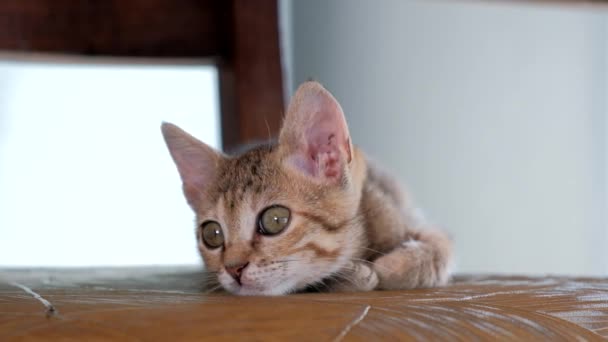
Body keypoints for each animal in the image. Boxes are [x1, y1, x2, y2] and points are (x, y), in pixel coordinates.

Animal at [162, 81, 452, 296]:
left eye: (275, 220)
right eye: (212, 234)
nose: (233, 269)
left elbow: (441, 247)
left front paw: (392, 267)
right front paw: (352, 276)